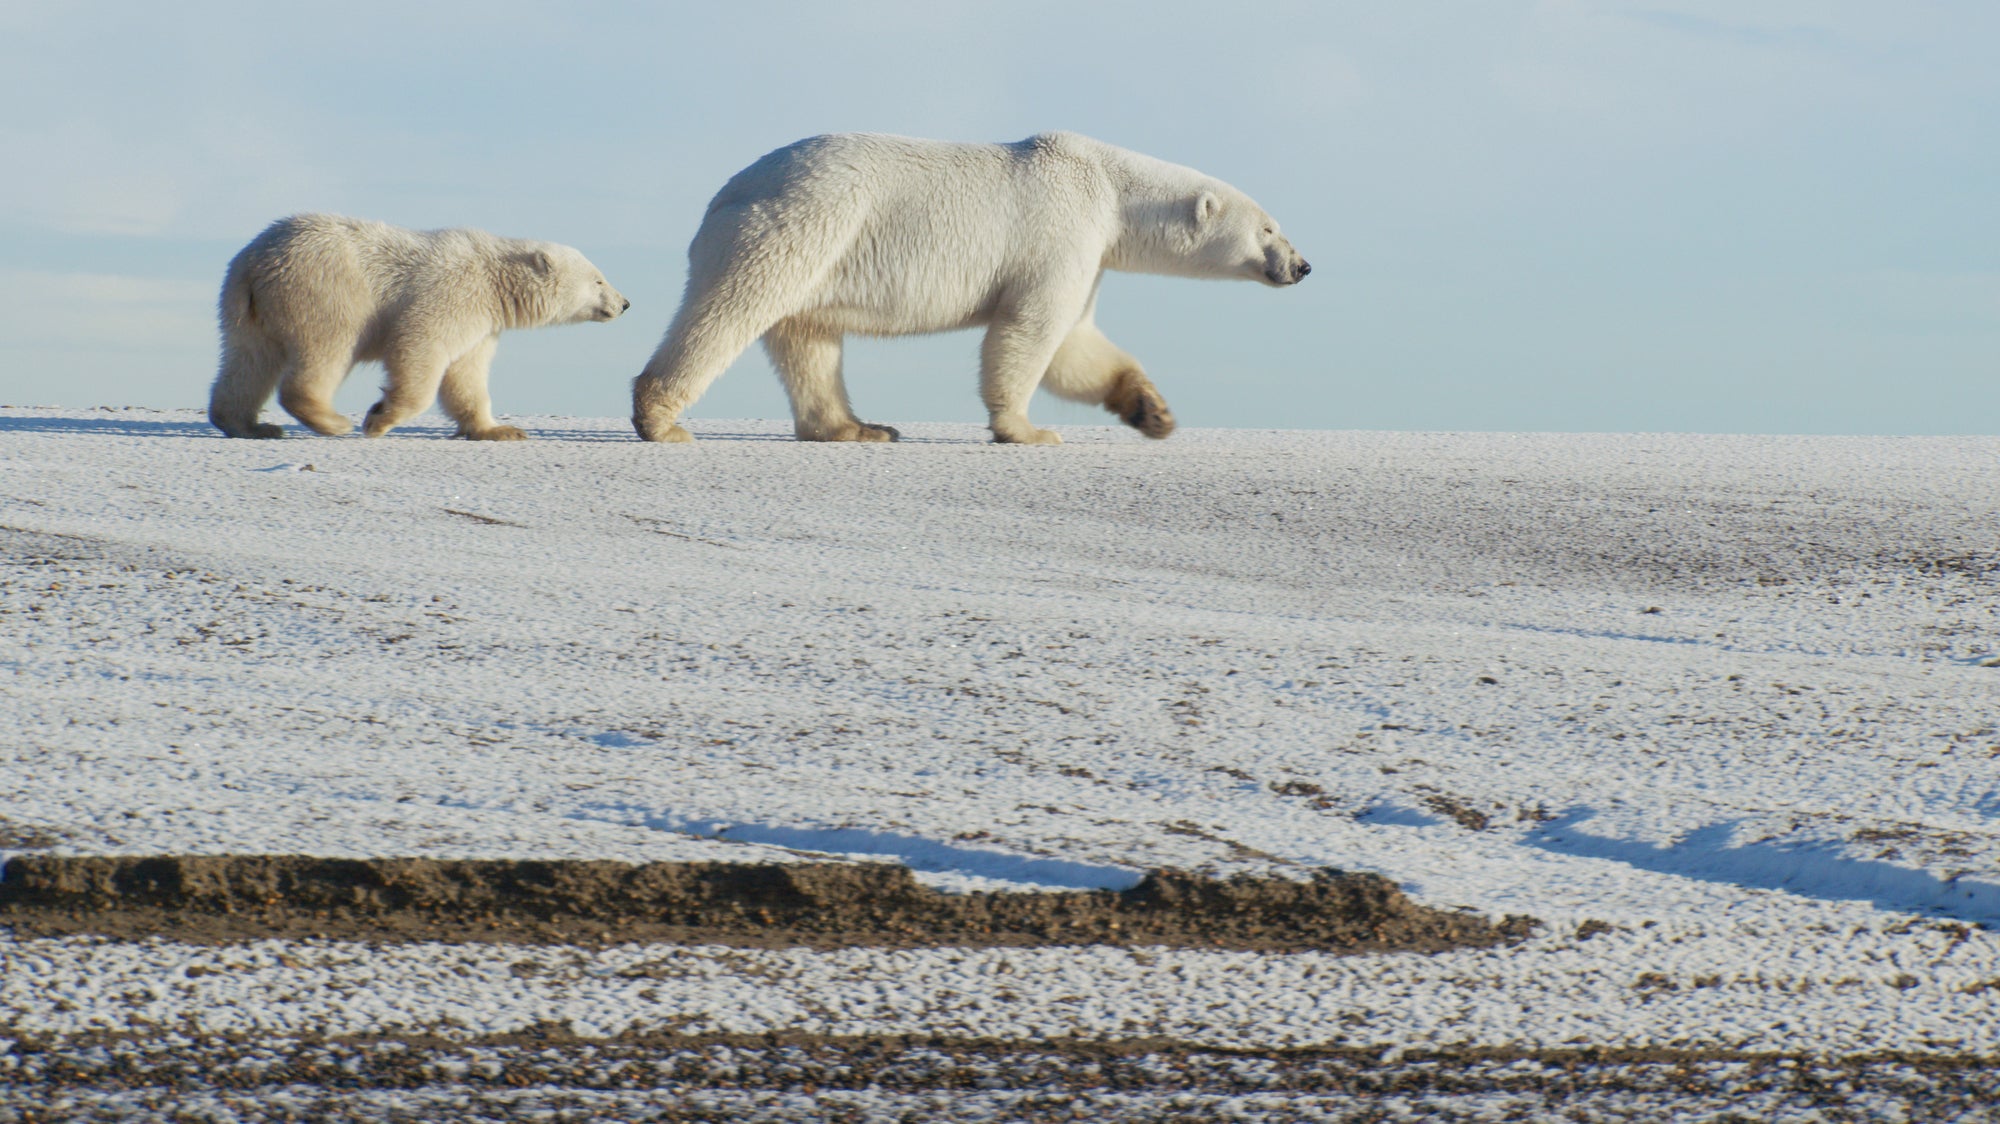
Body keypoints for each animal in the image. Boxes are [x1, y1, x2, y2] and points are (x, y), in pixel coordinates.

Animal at [207, 214, 630, 441]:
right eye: (598, 279)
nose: (625, 303)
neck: (494, 279)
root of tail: (256, 261)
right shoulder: (451, 293)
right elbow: (420, 346)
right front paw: (378, 417)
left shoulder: (482, 323)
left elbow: (466, 375)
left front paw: (501, 430)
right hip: (325, 291)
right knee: (326, 350)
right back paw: (332, 420)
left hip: (244, 307)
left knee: (248, 361)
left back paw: (248, 425)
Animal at [631, 131, 1309, 446]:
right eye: (1270, 227)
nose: (1302, 265)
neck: (1111, 188)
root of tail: (722, 196)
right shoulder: (1061, 232)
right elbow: (1032, 331)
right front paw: (1030, 431)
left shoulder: (1090, 253)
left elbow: (1076, 343)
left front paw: (1154, 412)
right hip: (796, 227)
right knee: (730, 311)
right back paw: (662, 419)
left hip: (818, 255)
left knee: (809, 340)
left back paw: (858, 428)